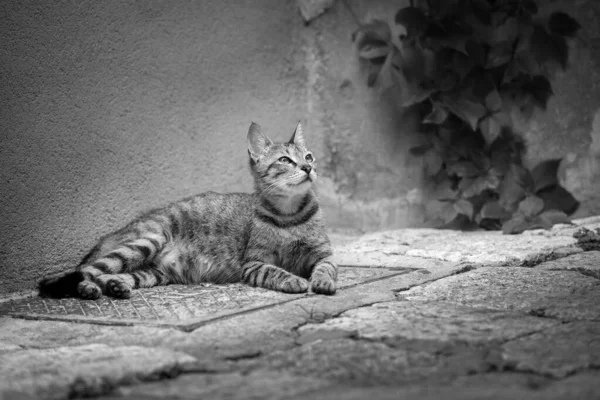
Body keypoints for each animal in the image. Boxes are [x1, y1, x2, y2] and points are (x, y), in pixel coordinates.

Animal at [37, 122, 338, 300]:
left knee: (108, 275)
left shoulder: (324, 254)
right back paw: (87, 288)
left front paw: (322, 282)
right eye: (285, 160)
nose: (308, 168)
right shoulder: (254, 263)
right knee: (84, 272)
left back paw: (114, 286)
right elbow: (276, 272)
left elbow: (326, 268)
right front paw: (294, 280)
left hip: (154, 272)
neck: (290, 214)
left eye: (309, 156)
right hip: (148, 240)